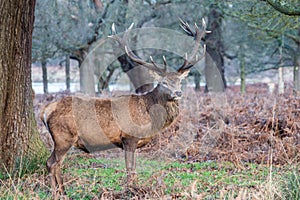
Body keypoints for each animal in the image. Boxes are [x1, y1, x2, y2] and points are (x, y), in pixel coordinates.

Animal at [40, 18, 206, 198]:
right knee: (51, 163)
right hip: (63, 136)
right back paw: (57, 193)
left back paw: (63, 192)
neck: (149, 116)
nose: (178, 92)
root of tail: (45, 111)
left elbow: (133, 167)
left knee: (56, 163)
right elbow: (130, 168)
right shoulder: (129, 137)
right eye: (163, 82)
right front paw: (131, 190)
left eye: (179, 81)